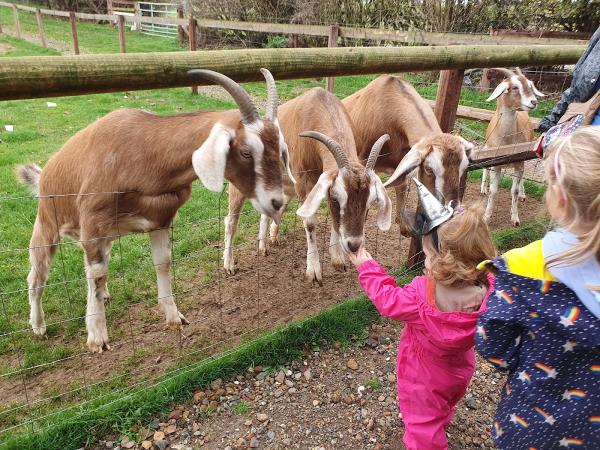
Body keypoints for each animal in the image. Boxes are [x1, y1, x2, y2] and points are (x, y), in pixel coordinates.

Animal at [17, 68, 290, 354]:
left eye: (278, 147)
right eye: (246, 152)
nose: (276, 201)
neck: (144, 153)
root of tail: (45, 174)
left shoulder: (161, 219)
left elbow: (163, 262)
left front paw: (173, 317)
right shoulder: (93, 223)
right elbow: (97, 272)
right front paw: (97, 336)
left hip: (106, 236)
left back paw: (103, 296)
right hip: (47, 223)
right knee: (37, 275)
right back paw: (38, 326)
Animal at [223, 87, 392, 284]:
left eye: (370, 203)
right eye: (337, 200)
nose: (354, 244)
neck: (319, 106)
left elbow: (334, 220)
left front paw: (338, 259)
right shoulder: (304, 183)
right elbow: (310, 223)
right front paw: (314, 271)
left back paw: (264, 245)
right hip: (239, 185)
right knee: (231, 221)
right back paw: (229, 265)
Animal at [342, 74, 474, 236]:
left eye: (464, 167)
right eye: (429, 169)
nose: (452, 210)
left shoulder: (400, 161)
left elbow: (401, 185)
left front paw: (403, 224)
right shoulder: (362, 160)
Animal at [482, 67, 544, 225]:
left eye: (530, 86)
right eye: (515, 87)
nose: (533, 102)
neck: (507, 141)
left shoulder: (519, 162)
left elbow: (513, 191)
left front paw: (515, 218)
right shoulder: (496, 165)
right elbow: (493, 191)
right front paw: (486, 217)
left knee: (521, 179)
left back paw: (522, 194)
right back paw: (483, 188)